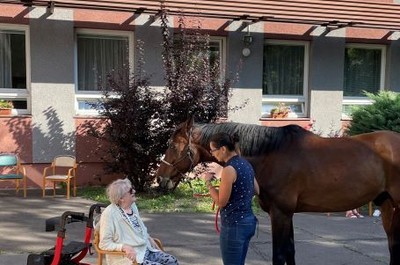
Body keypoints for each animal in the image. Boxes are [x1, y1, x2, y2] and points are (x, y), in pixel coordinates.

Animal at [156, 117, 400, 264]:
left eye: (173, 146)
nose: (160, 178)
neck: (272, 154)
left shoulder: (280, 213)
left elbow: (279, 253)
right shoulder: (286, 214)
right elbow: (289, 252)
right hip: (388, 207)